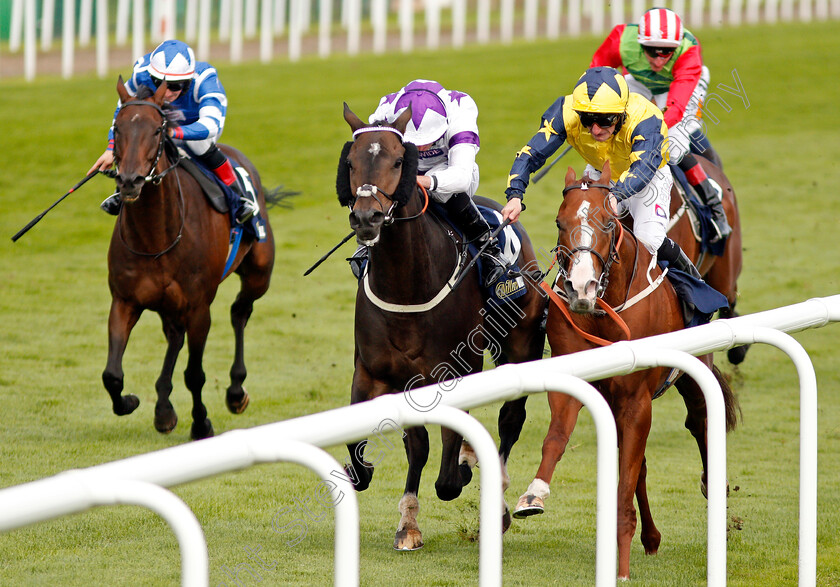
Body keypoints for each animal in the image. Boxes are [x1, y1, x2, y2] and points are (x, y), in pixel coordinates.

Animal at [102, 78, 276, 438]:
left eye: (157, 130)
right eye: (118, 127)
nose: (129, 181)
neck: (156, 236)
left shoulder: (198, 307)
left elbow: (195, 374)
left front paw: (201, 423)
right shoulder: (125, 301)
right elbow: (112, 374)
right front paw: (130, 402)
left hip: (259, 273)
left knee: (240, 312)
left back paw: (235, 392)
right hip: (168, 304)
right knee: (174, 335)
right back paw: (163, 408)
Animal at [338, 104, 548, 552]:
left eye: (398, 162)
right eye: (351, 162)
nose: (366, 217)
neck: (407, 287)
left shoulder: (457, 370)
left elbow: (449, 479)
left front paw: (465, 469)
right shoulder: (376, 373)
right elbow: (384, 455)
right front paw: (407, 522)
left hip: (520, 348)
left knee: (510, 419)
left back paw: (497, 499)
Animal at [516, 163, 740, 580]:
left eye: (607, 222)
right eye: (558, 222)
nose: (581, 288)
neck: (603, 315)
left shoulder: (637, 400)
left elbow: (624, 484)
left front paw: (620, 567)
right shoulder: (581, 387)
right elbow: (557, 438)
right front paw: (533, 494)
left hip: (692, 374)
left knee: (700, 421)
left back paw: (712, 488)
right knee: (642, 467)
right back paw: (650, 538)